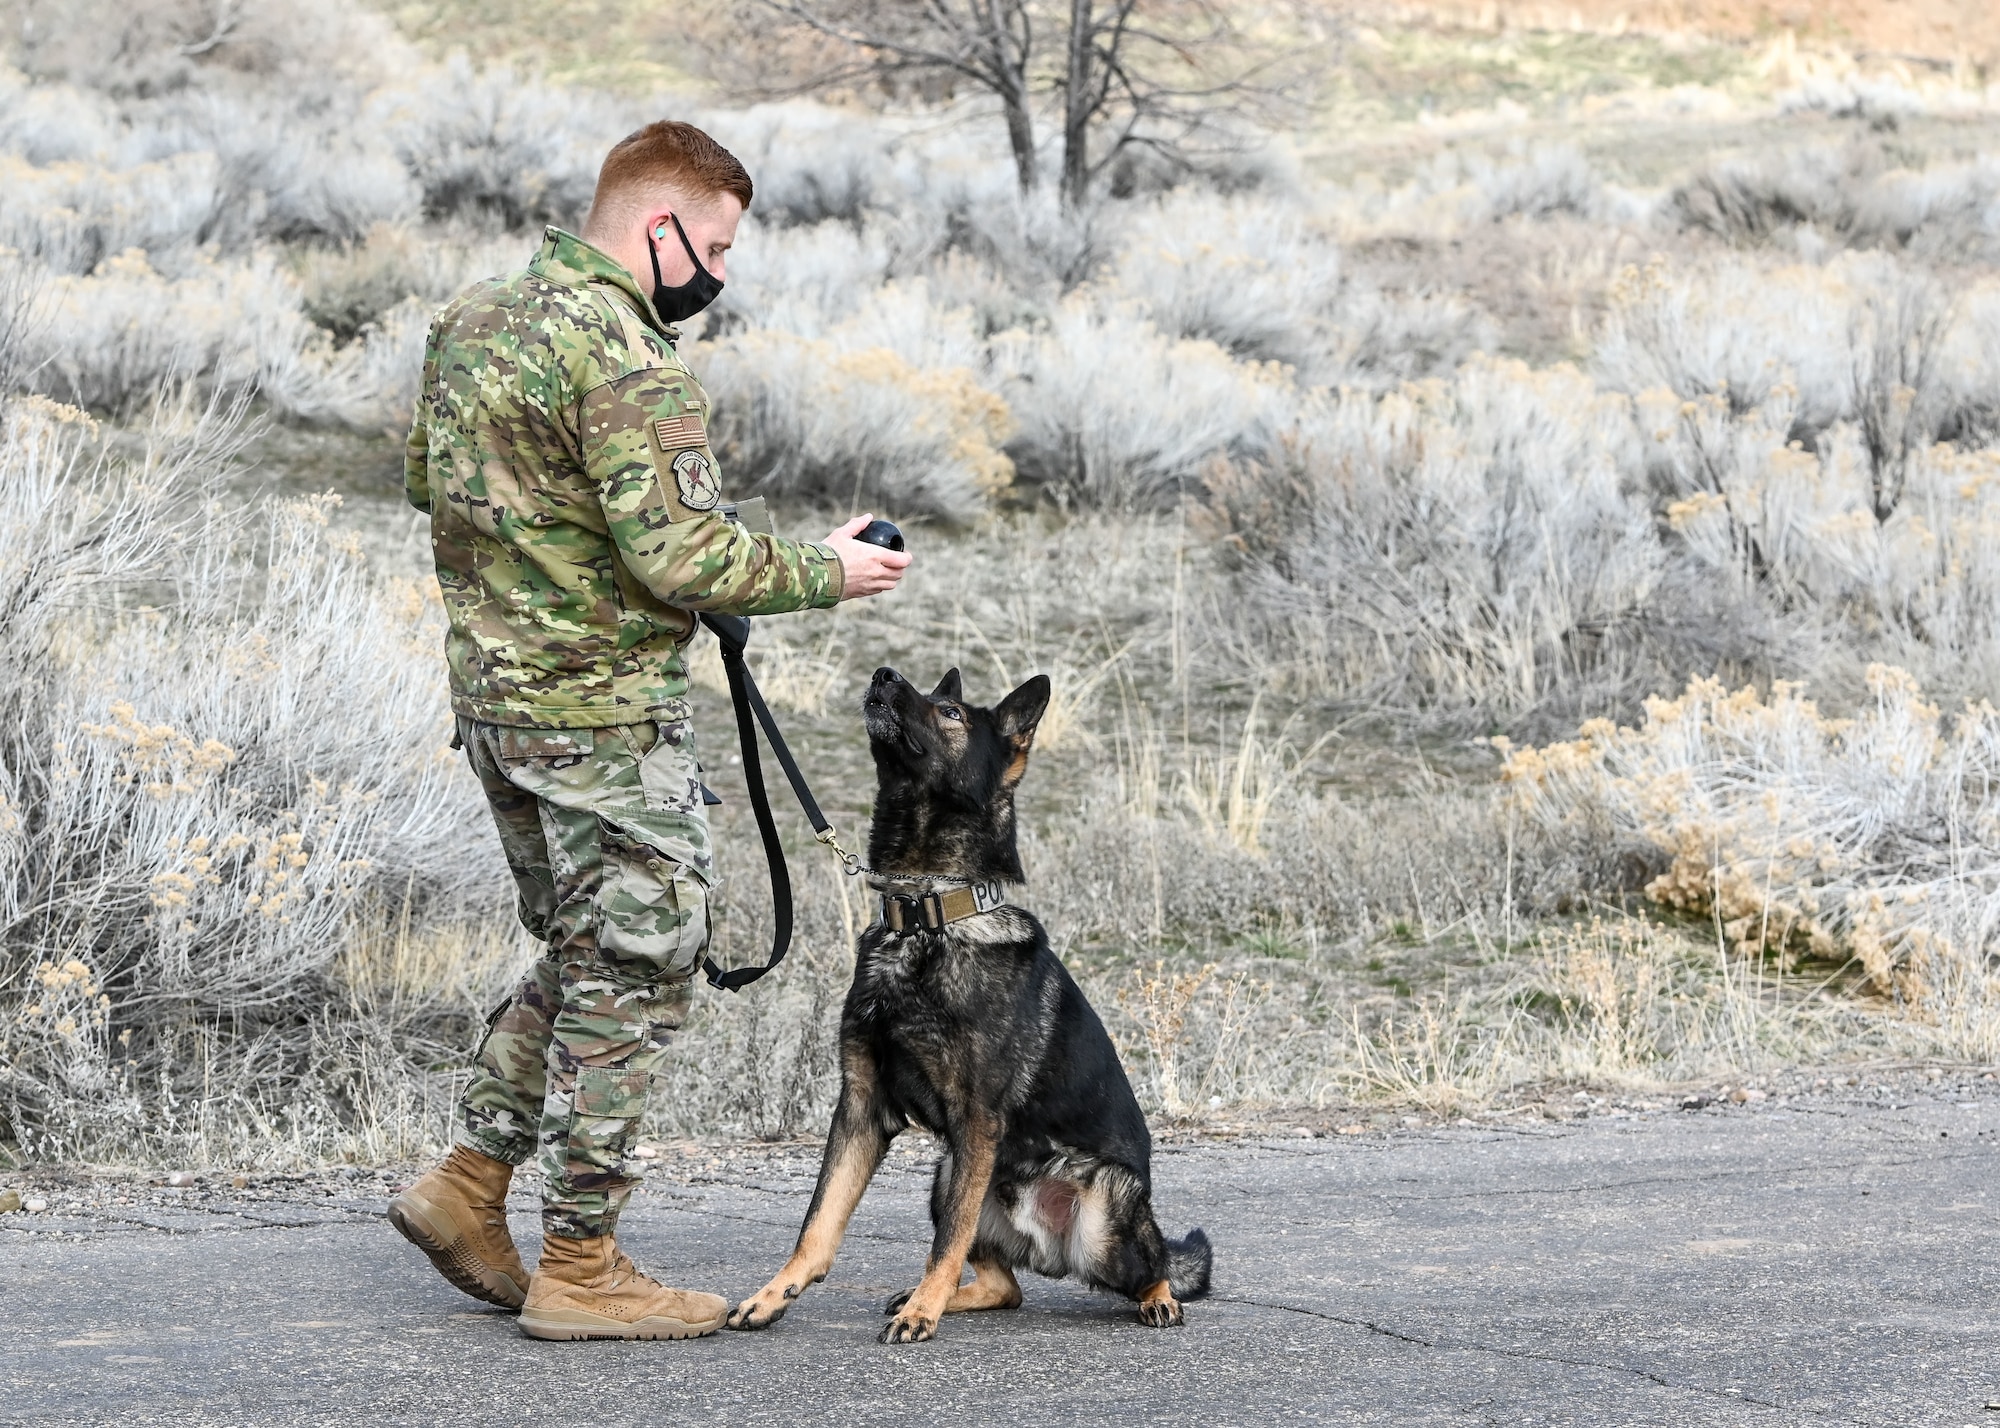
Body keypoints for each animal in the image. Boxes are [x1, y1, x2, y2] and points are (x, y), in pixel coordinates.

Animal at [728, 660, 1208, 1344]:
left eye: (949, 713)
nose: (882, 673)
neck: (925, 914)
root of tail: (1048, 1247)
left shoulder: (975, 1118)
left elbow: (947, 1241)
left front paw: (923, 1313)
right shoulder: (862, 1108)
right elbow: (818, 1222)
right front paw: (774, 1296)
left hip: (1100, 1213)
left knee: (1156, 1261)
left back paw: (1158, 1299)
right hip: (949, 1173)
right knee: (1006, 1287)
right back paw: (928, 1296)